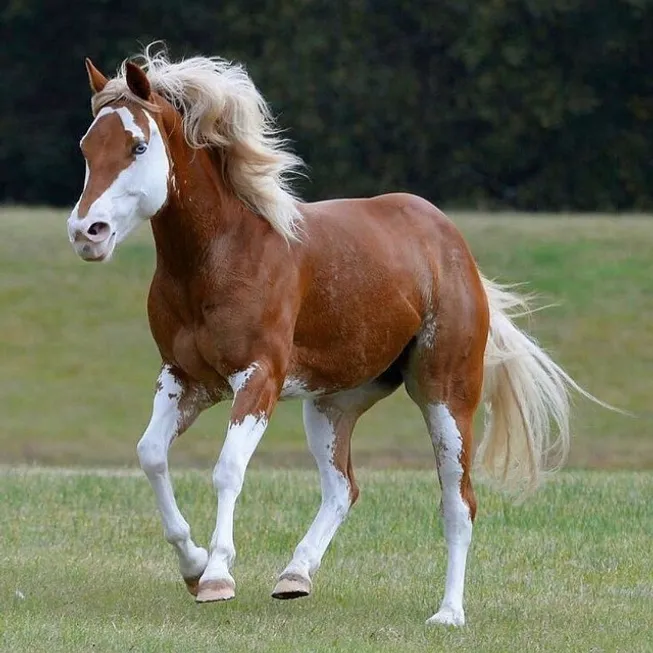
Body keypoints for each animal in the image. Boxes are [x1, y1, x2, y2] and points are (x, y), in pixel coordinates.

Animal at [66, 45, 600, 628]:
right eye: (88, 147)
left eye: (138, 146)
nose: (86, 233)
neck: (218, 256)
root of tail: (452, 244)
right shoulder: (186, 380)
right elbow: (151, 455)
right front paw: (193, 564)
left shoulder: (258, 379)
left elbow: (228, 470)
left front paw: (217, 577)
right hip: (331, 404)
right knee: (344, 487)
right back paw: (295, 576)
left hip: (445, 396)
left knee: (458, 502)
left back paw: (448, 613)